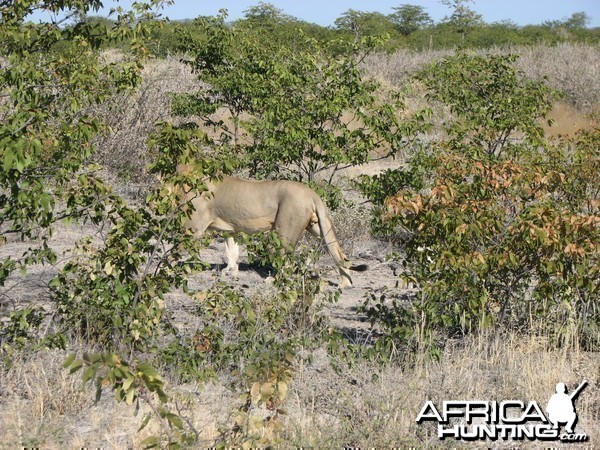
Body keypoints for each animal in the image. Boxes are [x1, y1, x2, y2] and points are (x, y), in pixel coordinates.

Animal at [171, 163, 364, 286]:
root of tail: (312, 193)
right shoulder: (231, 229)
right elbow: (231, 250)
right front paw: (231, 271)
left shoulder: (194, 228)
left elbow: (175, 250)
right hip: (318, 227)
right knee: (339, 253)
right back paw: (345, 283)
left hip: (284, 230)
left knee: (287, 261)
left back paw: (273, 280)